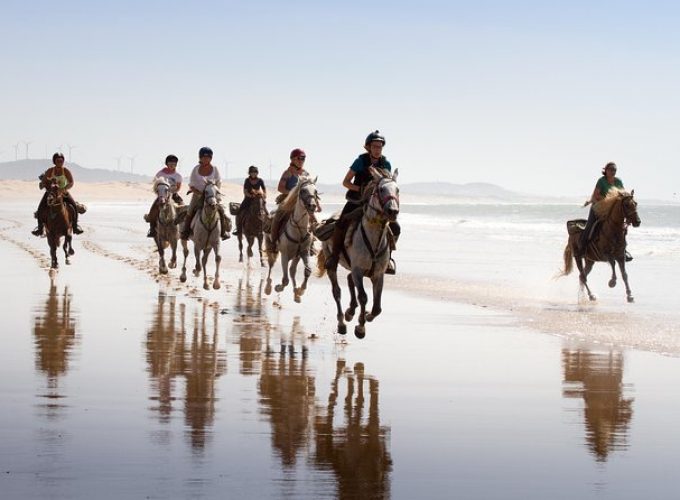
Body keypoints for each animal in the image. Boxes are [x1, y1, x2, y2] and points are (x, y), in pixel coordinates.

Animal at [318, 166, 398, 338]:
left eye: (398, 190)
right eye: (381, 189)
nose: (393, 211)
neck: (373, 240)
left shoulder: (378, 274)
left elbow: (377, 307)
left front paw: (367, 316)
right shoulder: (358, 270)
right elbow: (363, 297)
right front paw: (360, 328)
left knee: (349, 280)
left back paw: (350, 311)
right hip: (332, 262)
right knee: (337, 291)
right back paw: (342, 322)